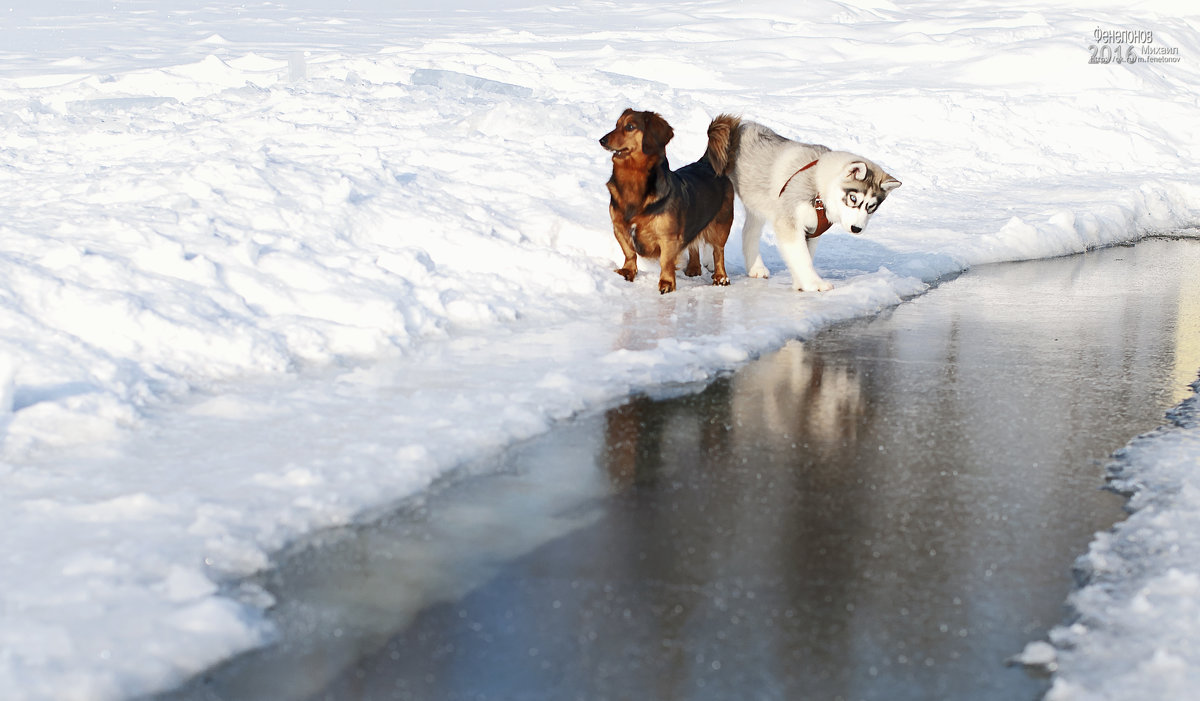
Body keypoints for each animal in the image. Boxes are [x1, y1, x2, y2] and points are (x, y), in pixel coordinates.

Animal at [595, 108, 734, 292]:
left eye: (630, 126)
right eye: (616, 125)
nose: (601, 140)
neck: (633, 180)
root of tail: (706, 162)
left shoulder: (668, 236)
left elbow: (666, 261)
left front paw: (667, 282)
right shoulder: (619, 227)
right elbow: (629, 252)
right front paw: (627, 271)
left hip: (722, 223)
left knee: (719, 251)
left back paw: (721, 277)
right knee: (694, 244)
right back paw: (693, 268)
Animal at [720, 121, 902, 291]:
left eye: (871, 207)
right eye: (853, 198)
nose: (856, 228)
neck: (818, 188)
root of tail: (744, 124)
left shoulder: (813, 230)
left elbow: (804, 255)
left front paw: (800, 283)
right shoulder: (789, 221)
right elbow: (802, 257)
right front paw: (814, 283)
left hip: (758, 204)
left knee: (749, 231)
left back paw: (756, 268)